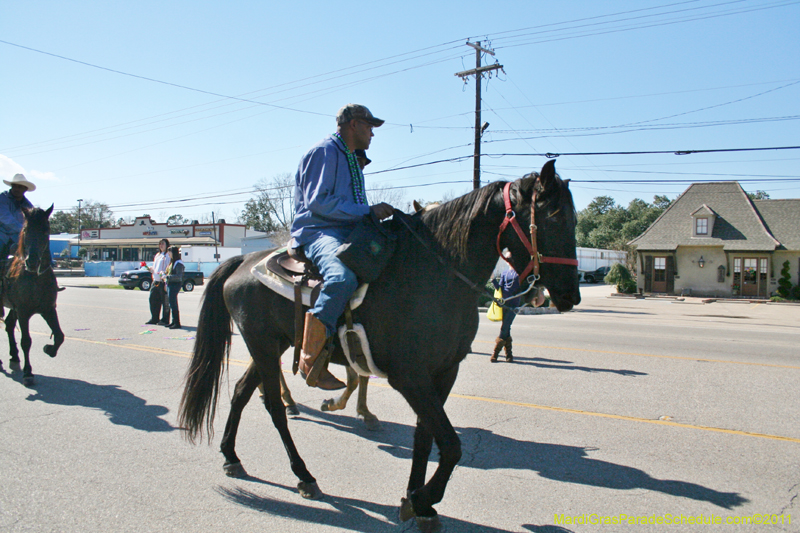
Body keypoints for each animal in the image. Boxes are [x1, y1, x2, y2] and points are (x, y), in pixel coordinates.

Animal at [1, 206, 65, 384]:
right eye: (26, 230)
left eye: (46, 230)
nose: (32, 261)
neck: (36, 278)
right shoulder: (23, 312)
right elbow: (26, 341)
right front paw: (28, 372)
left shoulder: (48, 309)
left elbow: (59, 336)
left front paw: (49, 349)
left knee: (9, 325)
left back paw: (14, 358)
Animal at [178, 161, 580, 528]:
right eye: (554, 218)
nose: (570, 295)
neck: (435, 274)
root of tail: (242, 261)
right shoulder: (410, 376)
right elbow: (451, 445)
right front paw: (423, 497)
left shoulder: (443, 373)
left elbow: (425, 436)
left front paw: (417, 501)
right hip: (261, 345)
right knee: (273, 405)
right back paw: (304, 475)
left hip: (271, 346)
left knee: (242, 392)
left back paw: (231, 455)